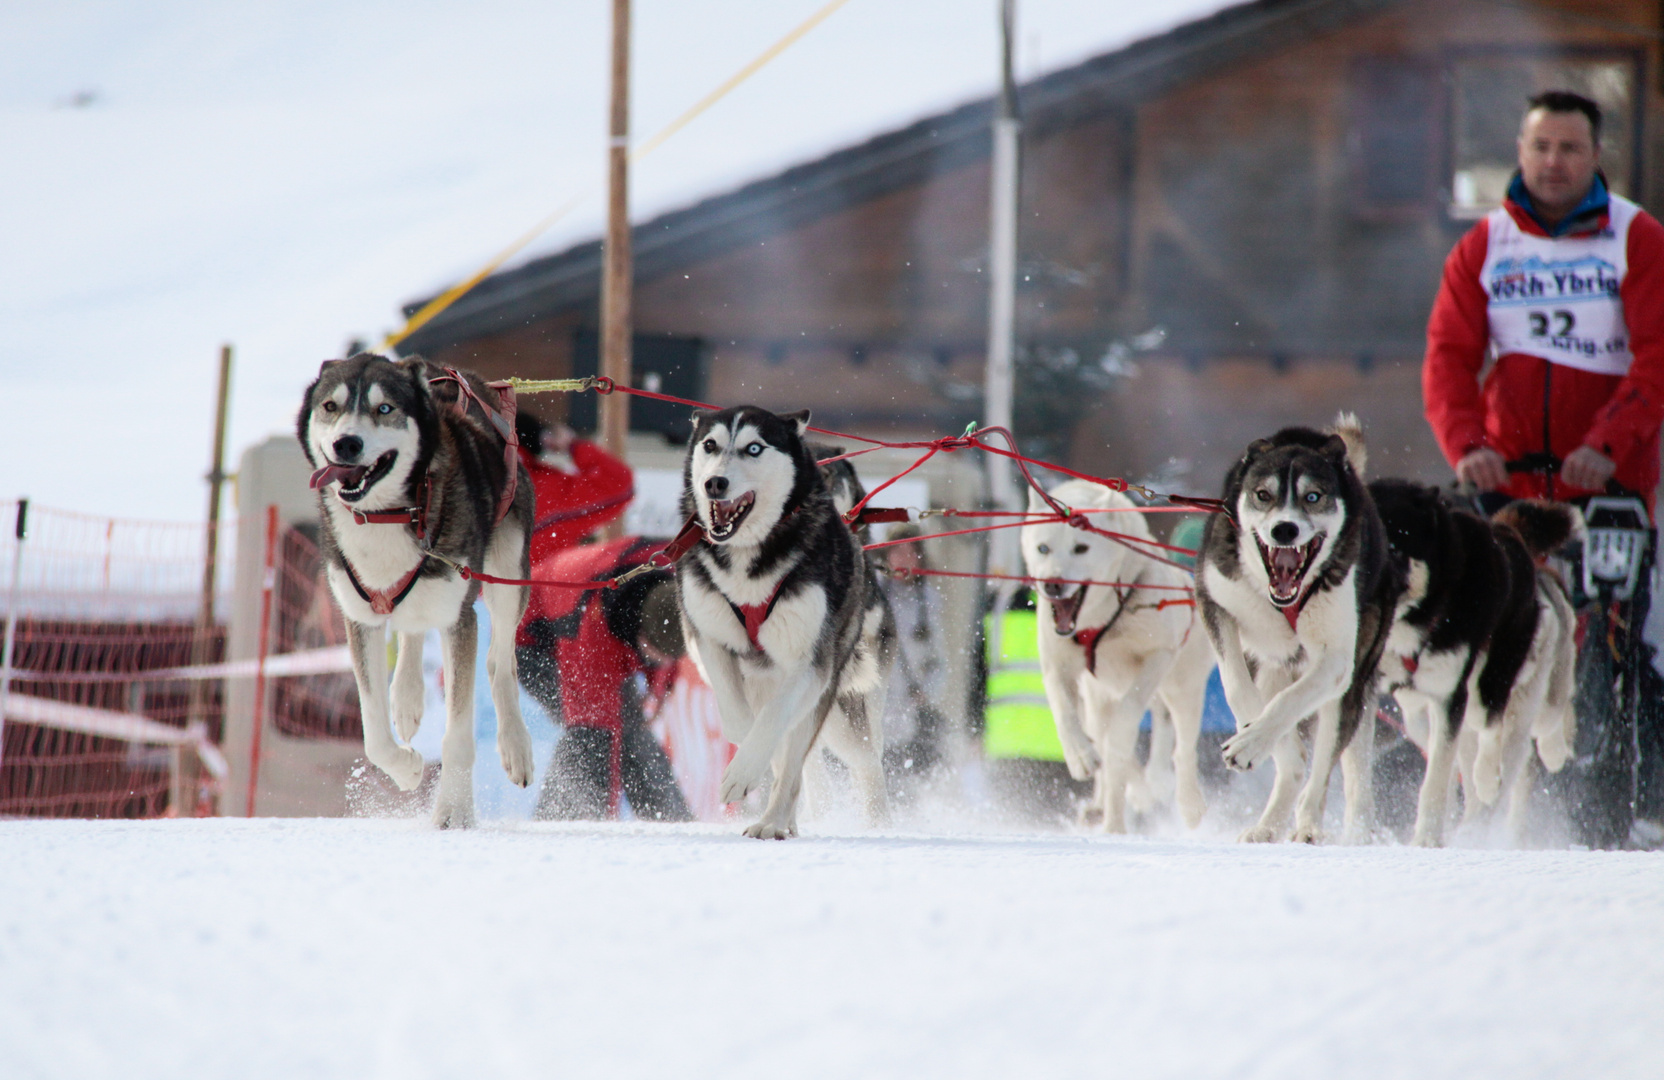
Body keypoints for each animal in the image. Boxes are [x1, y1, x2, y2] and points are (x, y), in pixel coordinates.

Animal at [299, 354, 532, 825]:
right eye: (330, 406)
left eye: (385, 408)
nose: (346, 444)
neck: (386, 515)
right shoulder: (361, 618)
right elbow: (373, 734)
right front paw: (405, 769)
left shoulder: (460, 617)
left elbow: (458, 737)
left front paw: (454, 811)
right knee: (411, 630)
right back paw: (405, 698)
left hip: (507, 574)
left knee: (500, 662)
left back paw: (515, 745)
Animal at [675, 404, 891, 835]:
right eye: (710, 445)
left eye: (754, 447)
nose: (714, 483)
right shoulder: (708, 642)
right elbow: (740, 721)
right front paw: (747, 767)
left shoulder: (810, 665)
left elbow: (775, 723)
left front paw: (745, 773)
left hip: (834, 701)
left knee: (856, 760)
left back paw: (783, 823)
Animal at [1011, 479, 1211, 825]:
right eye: (1043, 548)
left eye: (1081, 548)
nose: (1052, 584)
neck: (1099, 619)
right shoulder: (1057, 667)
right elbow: (1064, 713)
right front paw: (1080, 755)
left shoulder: (1158, 654)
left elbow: (1127, 718)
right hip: (1098, 696)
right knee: (1110, 744)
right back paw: (1112, 799)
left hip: (1182, 687)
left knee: (1180, 746)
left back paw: (1184, 799)